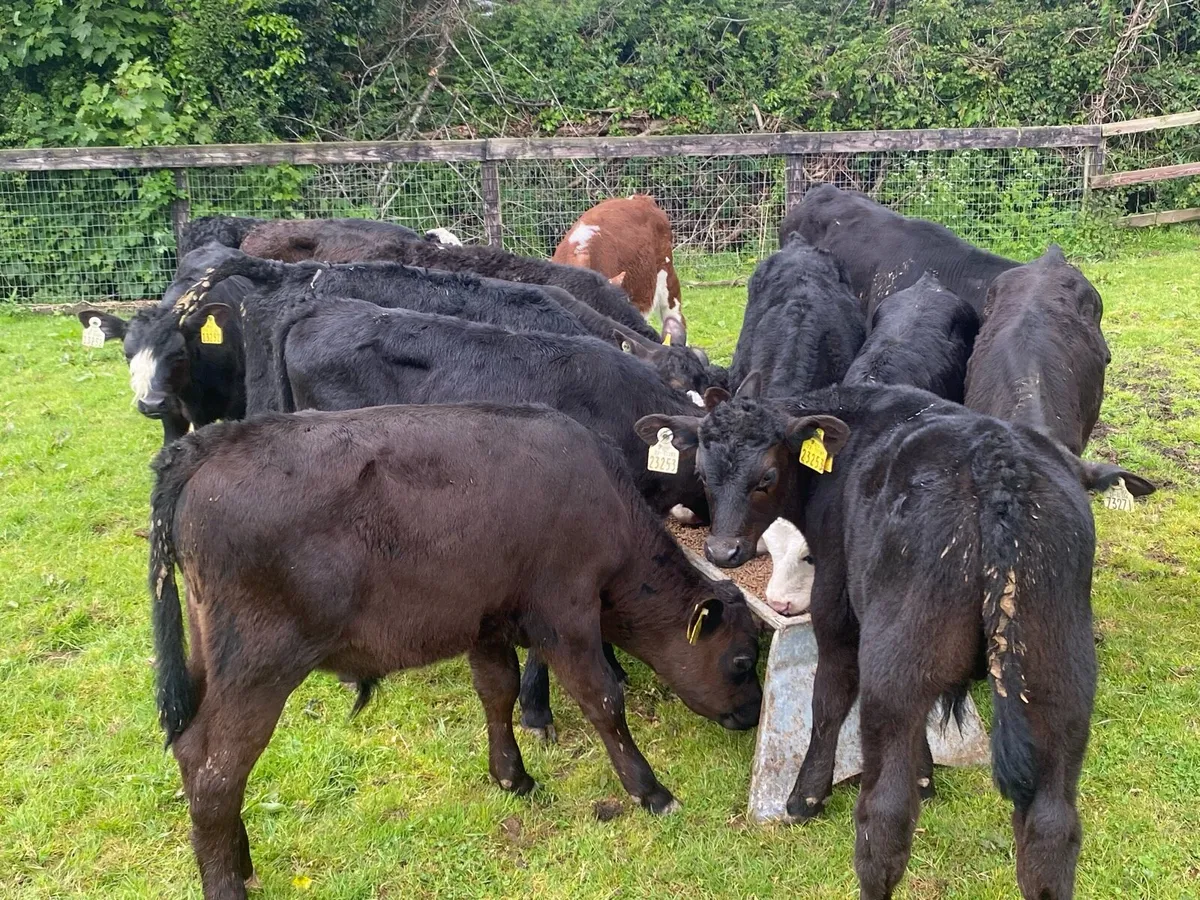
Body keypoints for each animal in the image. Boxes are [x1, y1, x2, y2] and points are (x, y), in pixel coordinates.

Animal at [149, 403, 763, 899]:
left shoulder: (488, 622)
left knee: (192, 752)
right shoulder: (566, 615)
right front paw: (651, 791)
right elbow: (604, 701)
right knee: (217, 773)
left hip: (211, 656)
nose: (756, 713)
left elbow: (498, 691)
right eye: (741, 660)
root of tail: (211, 442)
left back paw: (240, 860)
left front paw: (512, 776)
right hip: (260, 665)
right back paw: (227, 882)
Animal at [634, 379, 1154, 899]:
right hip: (1058, 677)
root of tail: (996, 464)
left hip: (896, 669)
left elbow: (828, 699)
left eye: (766, 476)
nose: (722, 551)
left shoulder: (837, 606)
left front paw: (805, 798)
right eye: (701, 472)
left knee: (883, 819)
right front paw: (926, 776)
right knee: (1052, 829)